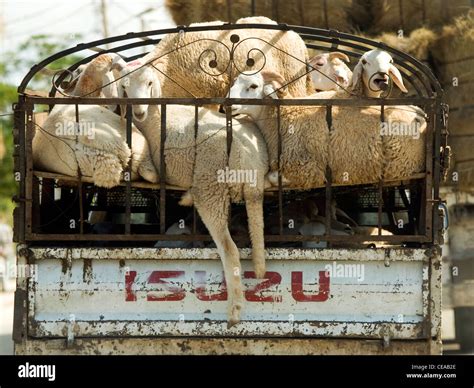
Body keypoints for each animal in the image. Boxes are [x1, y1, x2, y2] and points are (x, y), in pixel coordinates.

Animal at [114, 56, 270, 326]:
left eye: (150, 82)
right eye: (124, 85)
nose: (139, 111)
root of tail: (246, 155)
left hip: (210, 187)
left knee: (229, 250)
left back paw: (235, 310)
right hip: (252, 188)